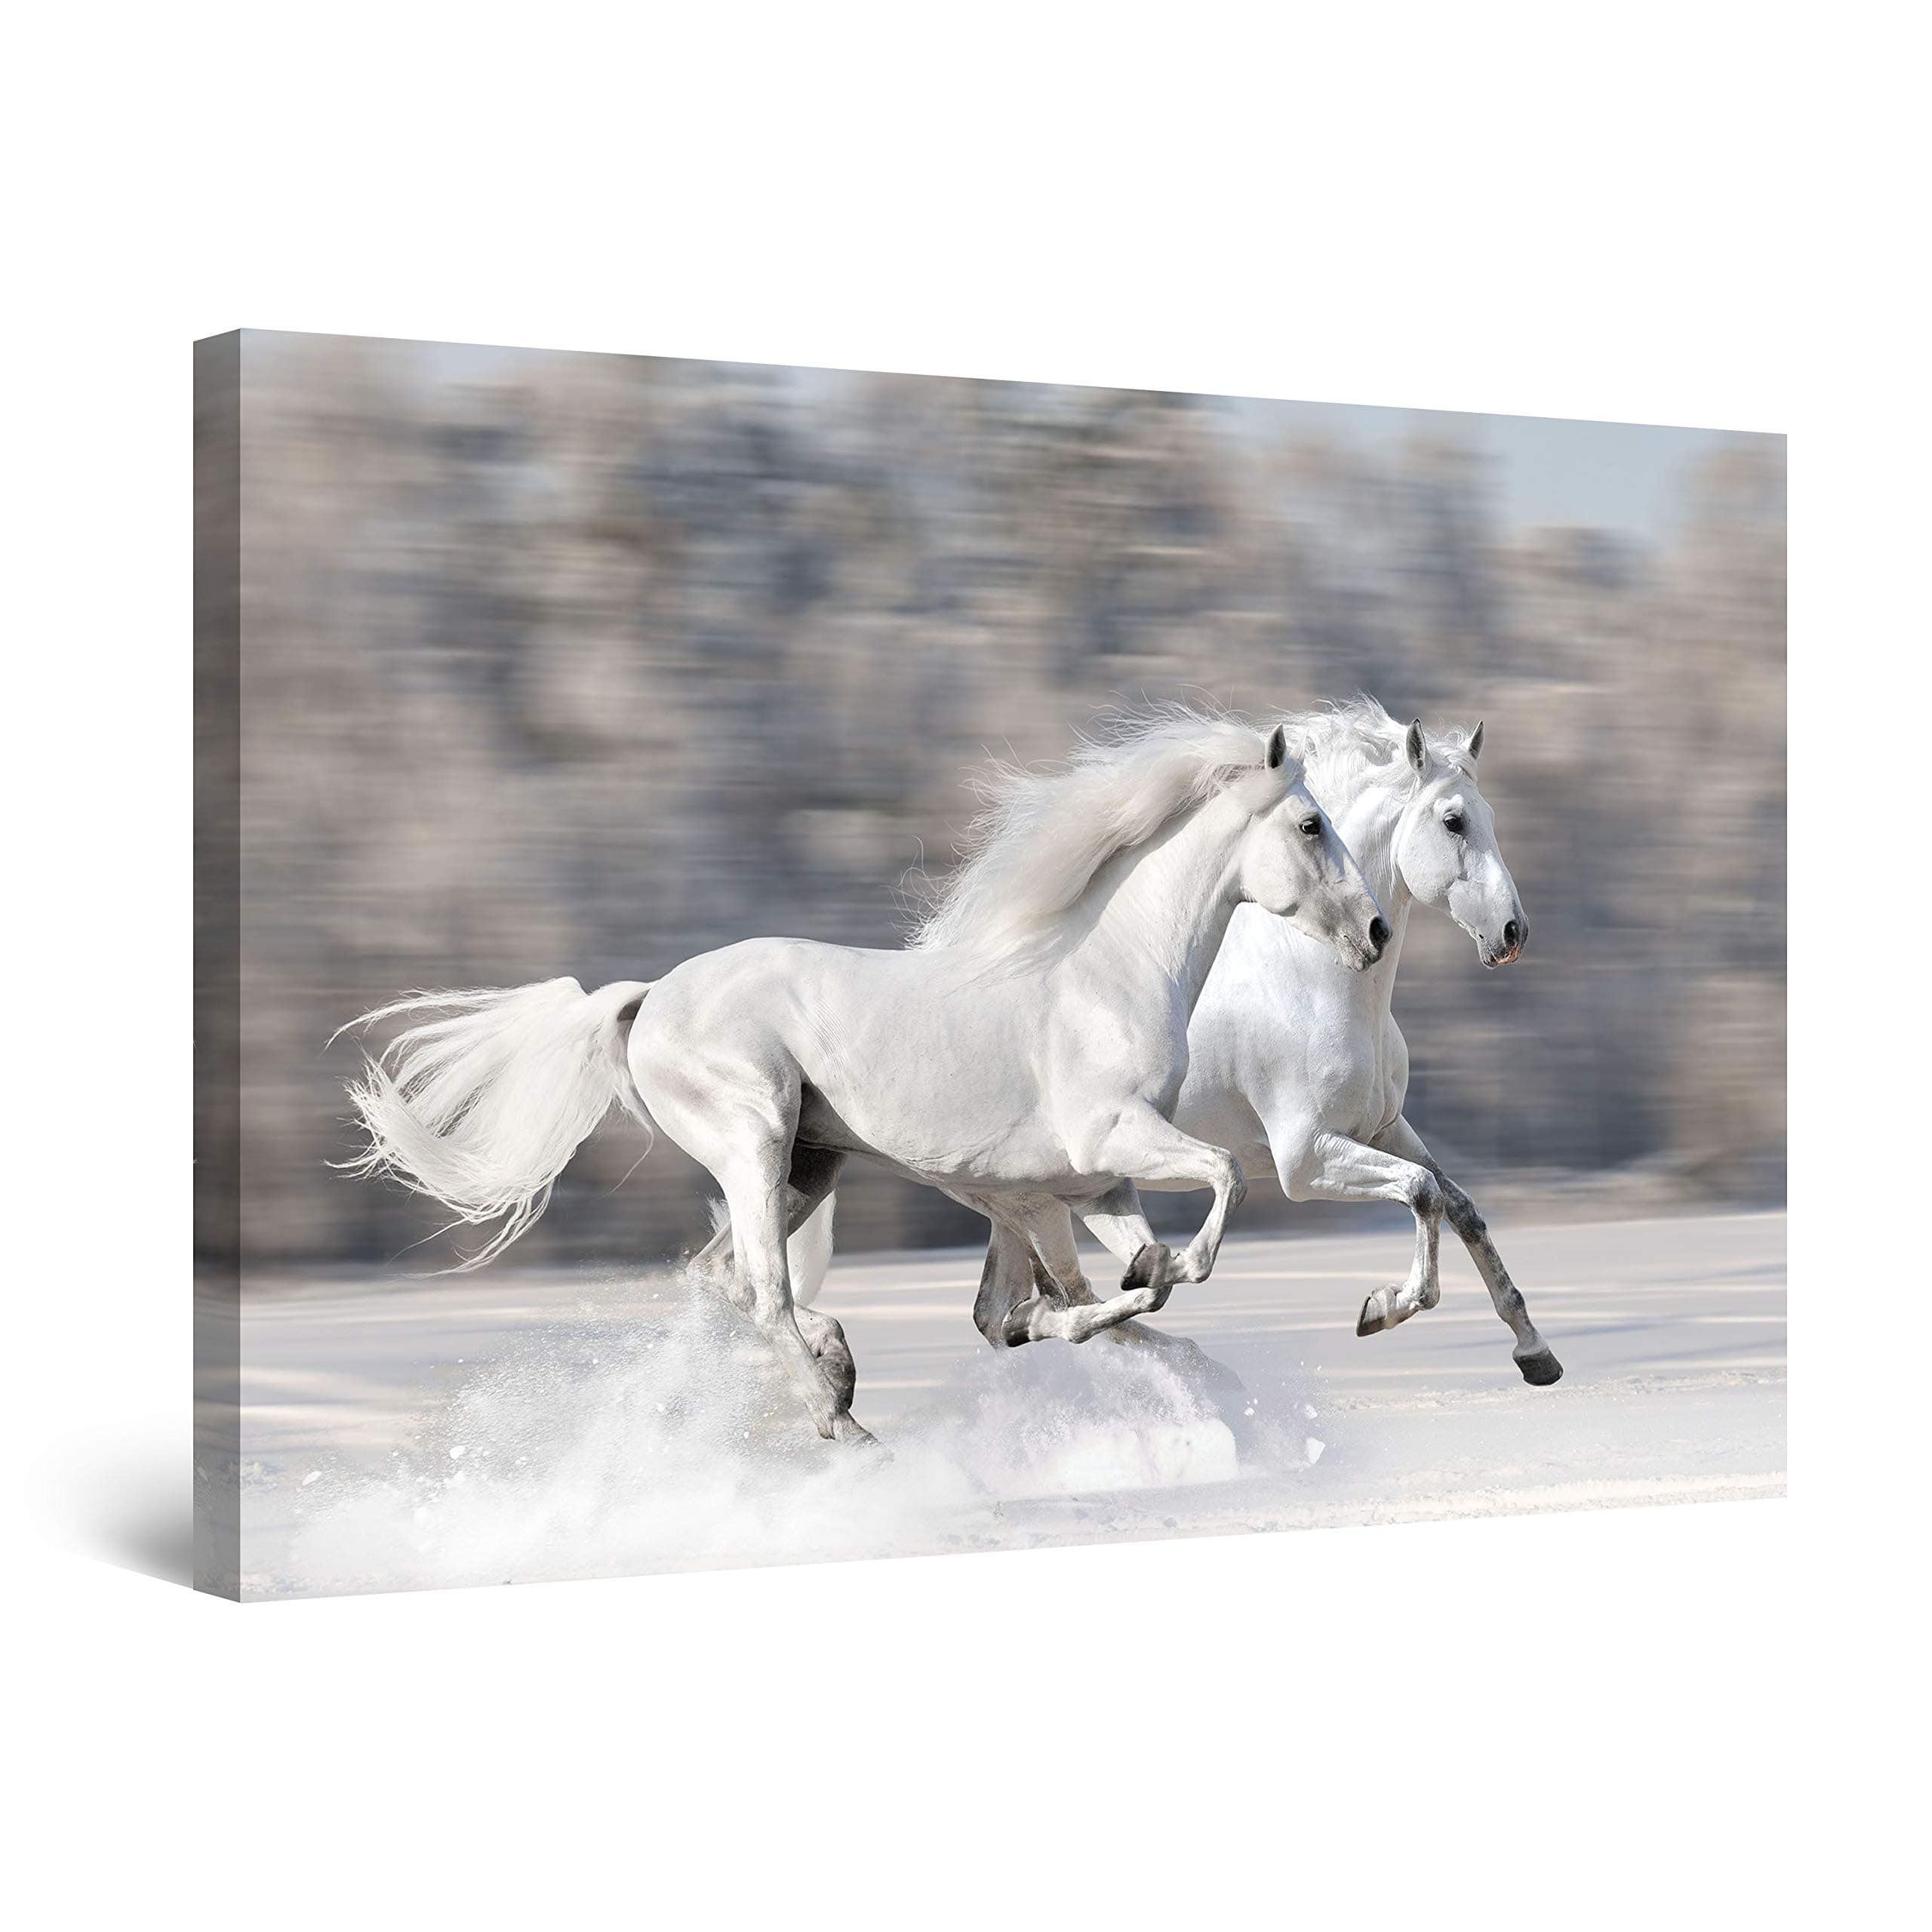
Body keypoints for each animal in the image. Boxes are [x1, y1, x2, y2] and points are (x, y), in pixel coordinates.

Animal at [336, 709, 1388, 1444]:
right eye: (1310, 824)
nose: (1376, 931)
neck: (1105, 974)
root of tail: (646, 999)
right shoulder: (1100, 1154)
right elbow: (1206, 1200)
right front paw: (1129, 1292)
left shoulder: (1090, 1185)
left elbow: (1098, 1294)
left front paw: (1154, 1315)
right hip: (755, 1143)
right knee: (759, 1289)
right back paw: (840, 1418)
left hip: (811, 1163)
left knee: (724, 1279)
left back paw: (839, 1366)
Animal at [778, 698, 1563, 1386]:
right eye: (1454, 821)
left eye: (1489, 817)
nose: (1512, 934)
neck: (1317, 981)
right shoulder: (1306, 1159)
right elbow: (1422, 1194)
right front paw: (1384, 1308)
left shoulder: (1384, 1127)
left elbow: (1460, 1207)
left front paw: (1535, 1354)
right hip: (1030, 1199)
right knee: (1039, 1302)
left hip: (1019, 1201)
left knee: (1008, 1311)